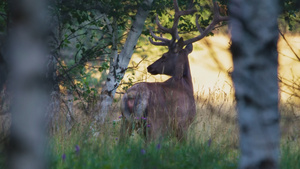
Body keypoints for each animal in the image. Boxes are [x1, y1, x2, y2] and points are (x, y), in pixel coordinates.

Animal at [119, 0, 227, 143]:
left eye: (164, 56)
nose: (149, 67)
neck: (185, 85)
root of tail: (132, 95)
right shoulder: (183, 124)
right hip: (155, 123)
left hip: (126, 120)